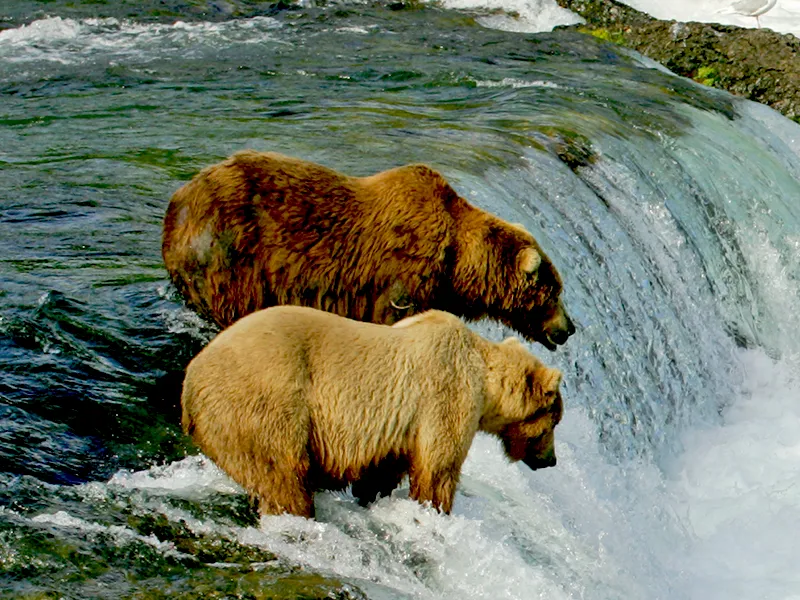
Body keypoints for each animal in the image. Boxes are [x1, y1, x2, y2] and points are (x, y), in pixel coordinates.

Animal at [162, 150, 575, 351]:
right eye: (553, 292)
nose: (568, 328)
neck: (455, 262)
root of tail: (179, 201)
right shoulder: (402, 276)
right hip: (231, 253)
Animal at [181, 305, 564, 518]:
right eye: (553, 422)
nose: (552, 460)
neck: (484, 378)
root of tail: (189, 384)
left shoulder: (400, 426)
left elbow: (385, 467)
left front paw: (372, 495)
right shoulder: (446, 393)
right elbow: (438, 467)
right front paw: (435, 508)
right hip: (266, 401)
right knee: (283, 473)